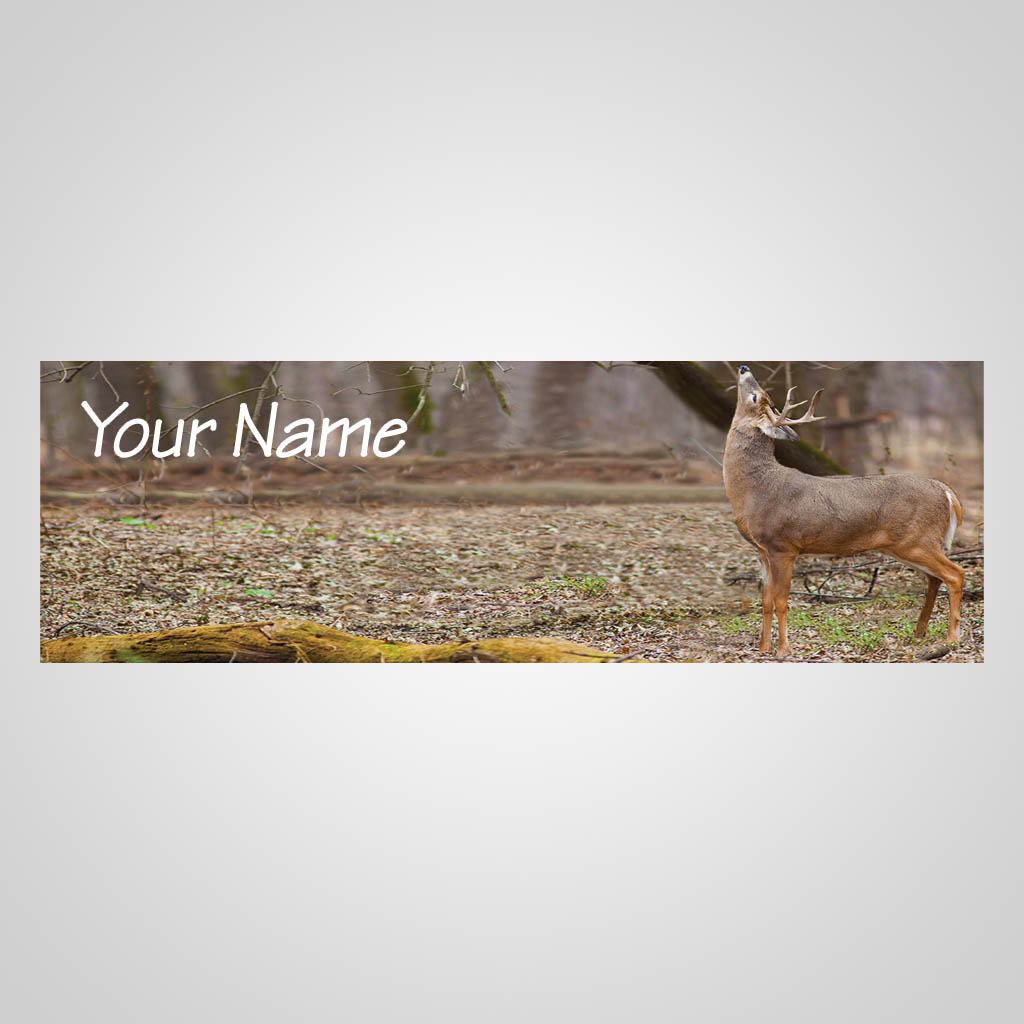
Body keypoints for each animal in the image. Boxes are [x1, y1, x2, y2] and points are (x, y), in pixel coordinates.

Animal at [722, 366, 964, 659]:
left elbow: (781, 600)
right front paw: (762, 649)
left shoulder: (783, 546)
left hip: (918, 540)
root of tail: (946, 491)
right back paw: (920, 631)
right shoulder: (762, 550)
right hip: (907, 545)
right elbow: (766, 601)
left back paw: (951, 638)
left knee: (955, 574)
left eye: (755, 397)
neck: (755, 489)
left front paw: (783, 650)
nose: (744, 368)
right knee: (934, 578)